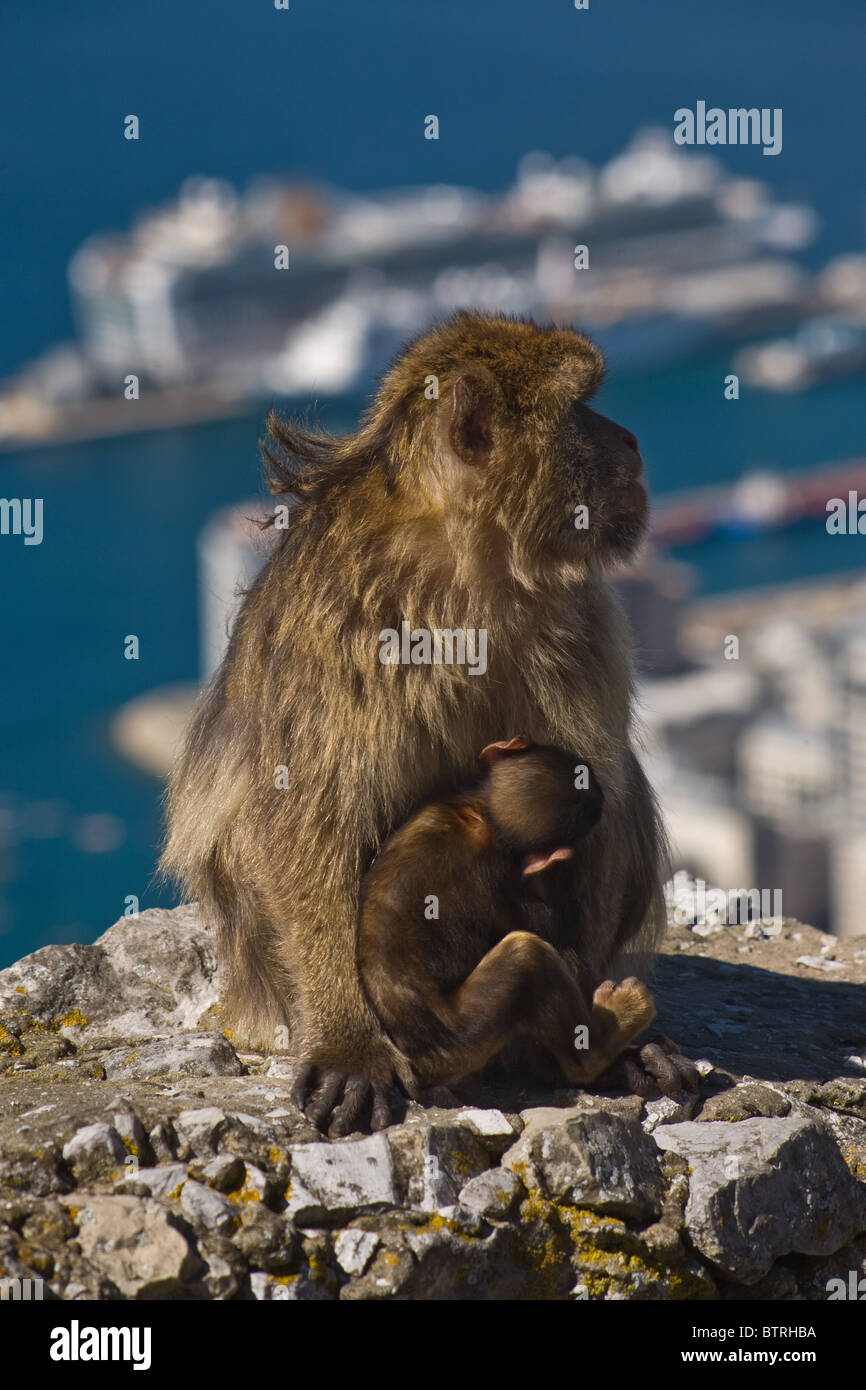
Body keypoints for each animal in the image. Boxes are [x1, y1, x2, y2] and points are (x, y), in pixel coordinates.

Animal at [358, 739, 656, 1095]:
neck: (486, 816)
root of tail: (426, 1064)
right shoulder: (499, 876)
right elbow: (550, 926)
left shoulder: (434, 807)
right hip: (467, 1032)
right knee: (528, 956)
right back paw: (603, 1040)